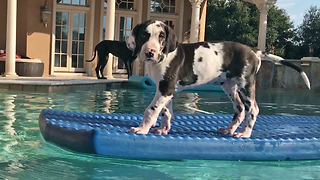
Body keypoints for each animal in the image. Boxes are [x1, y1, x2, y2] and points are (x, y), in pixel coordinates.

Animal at [126, 19, 312, 137]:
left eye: (161, 36)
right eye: (144, 35)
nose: (150, 52)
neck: (164, 57)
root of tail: (254, 51)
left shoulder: (166, 88)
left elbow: (151, 110)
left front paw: (141, 129)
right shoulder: (165, 89)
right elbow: (165, 111)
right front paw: (163, 129)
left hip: (245, 84)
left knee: (252, 109)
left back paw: (244, 133)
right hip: (229, 86)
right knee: (240, 109)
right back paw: (229, 130)